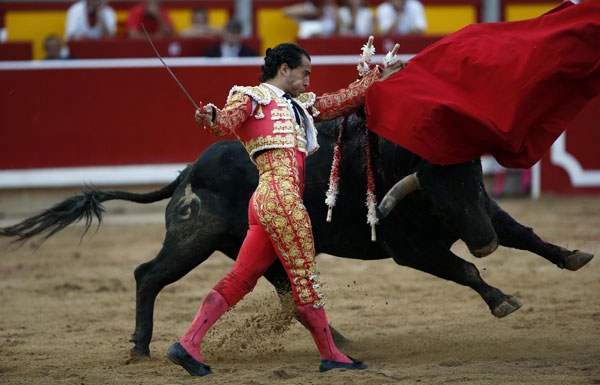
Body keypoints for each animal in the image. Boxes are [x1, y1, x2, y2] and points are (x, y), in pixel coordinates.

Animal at [0, 109, 592, 356]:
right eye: (438, 196)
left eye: (476, 180)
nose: (484, 239)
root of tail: (189, 170)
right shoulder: (412, 250)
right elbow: (465, 268)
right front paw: (502, 300)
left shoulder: (487, 212)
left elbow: (527, 234)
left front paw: (573, 256)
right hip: (195, 240)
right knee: (148, 274)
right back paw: (142, 346)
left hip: (246, 247)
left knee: (286, 288)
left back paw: (339, 339)